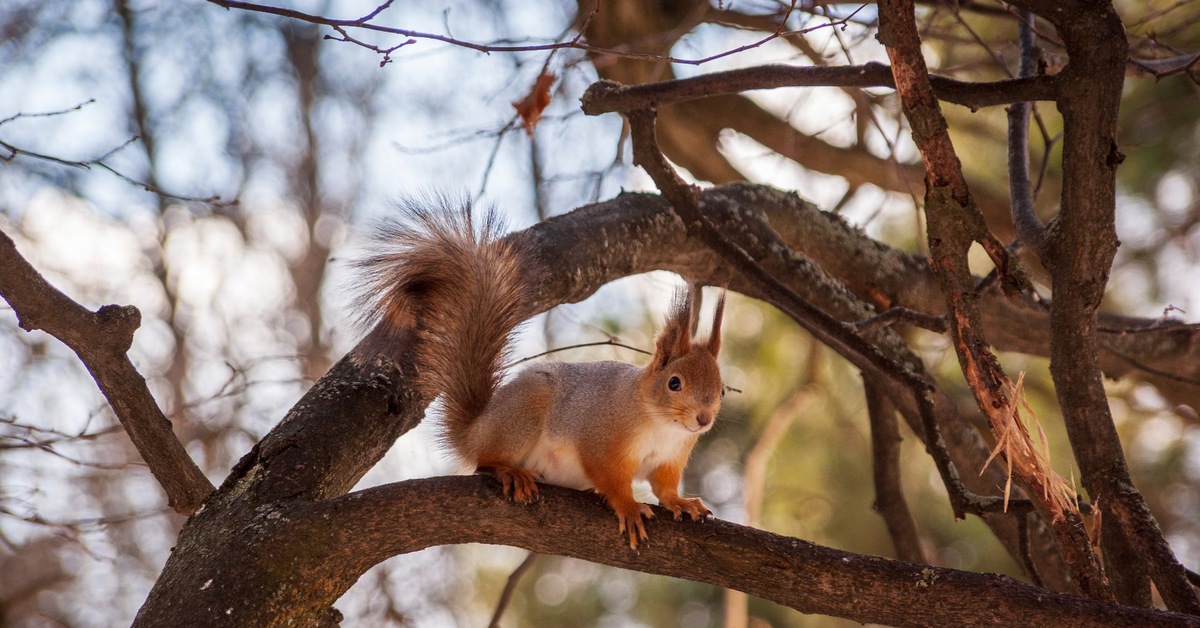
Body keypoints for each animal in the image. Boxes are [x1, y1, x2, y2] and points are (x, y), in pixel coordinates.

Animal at [350, 202, 724, 549]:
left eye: (721, 390)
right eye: (674, 383)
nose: (704, 419)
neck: (661, 424)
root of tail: (474, 431)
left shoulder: (670, 459)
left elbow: (664, 487)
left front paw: (681, 502)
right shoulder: (601, 439)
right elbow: (609, 478)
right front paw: (629, 507)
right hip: (523, 413)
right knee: (484, 462)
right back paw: (510, 472)